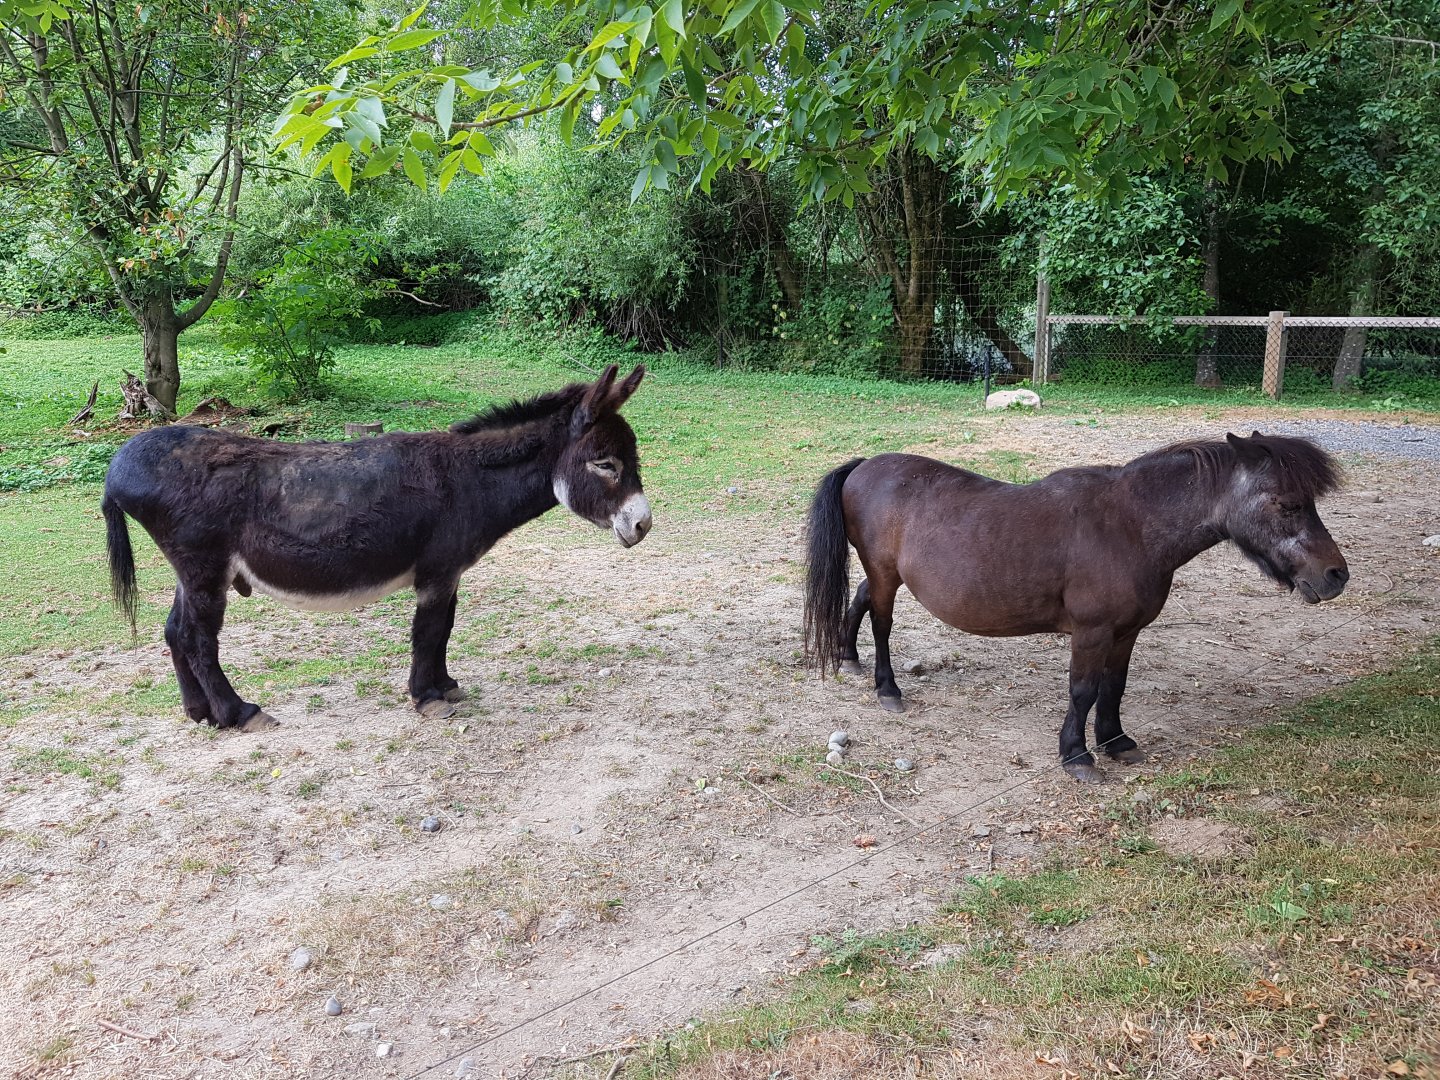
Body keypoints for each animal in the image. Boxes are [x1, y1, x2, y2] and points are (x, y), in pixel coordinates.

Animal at [102, 364, 651, 732]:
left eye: (633, 458)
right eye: (604, 464)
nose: (643, 525)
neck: (467, 480)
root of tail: (120, 463)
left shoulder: (448, 573)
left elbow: (444, 631)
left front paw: (445, 686)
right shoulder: (436, 572)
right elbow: (428, 633)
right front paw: (427, 698)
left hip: (193, 570)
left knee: (174, 632)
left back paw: (199, 713)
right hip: (204, 566)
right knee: (198, 639)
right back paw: (239, 713)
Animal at [802, 432, 1349, 782]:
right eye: (1287, 503)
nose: (1335, 575)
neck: (1130, 525)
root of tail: (864, 465)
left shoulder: (1126, 632)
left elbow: (1114, 688)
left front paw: (1115, 742)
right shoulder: (1092, 632)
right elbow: (1083, 691)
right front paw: (1077, 755)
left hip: (883, 575)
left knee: (859, 600)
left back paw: (849, 659)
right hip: (886, 577)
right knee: (882, 624)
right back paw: (886, 687)